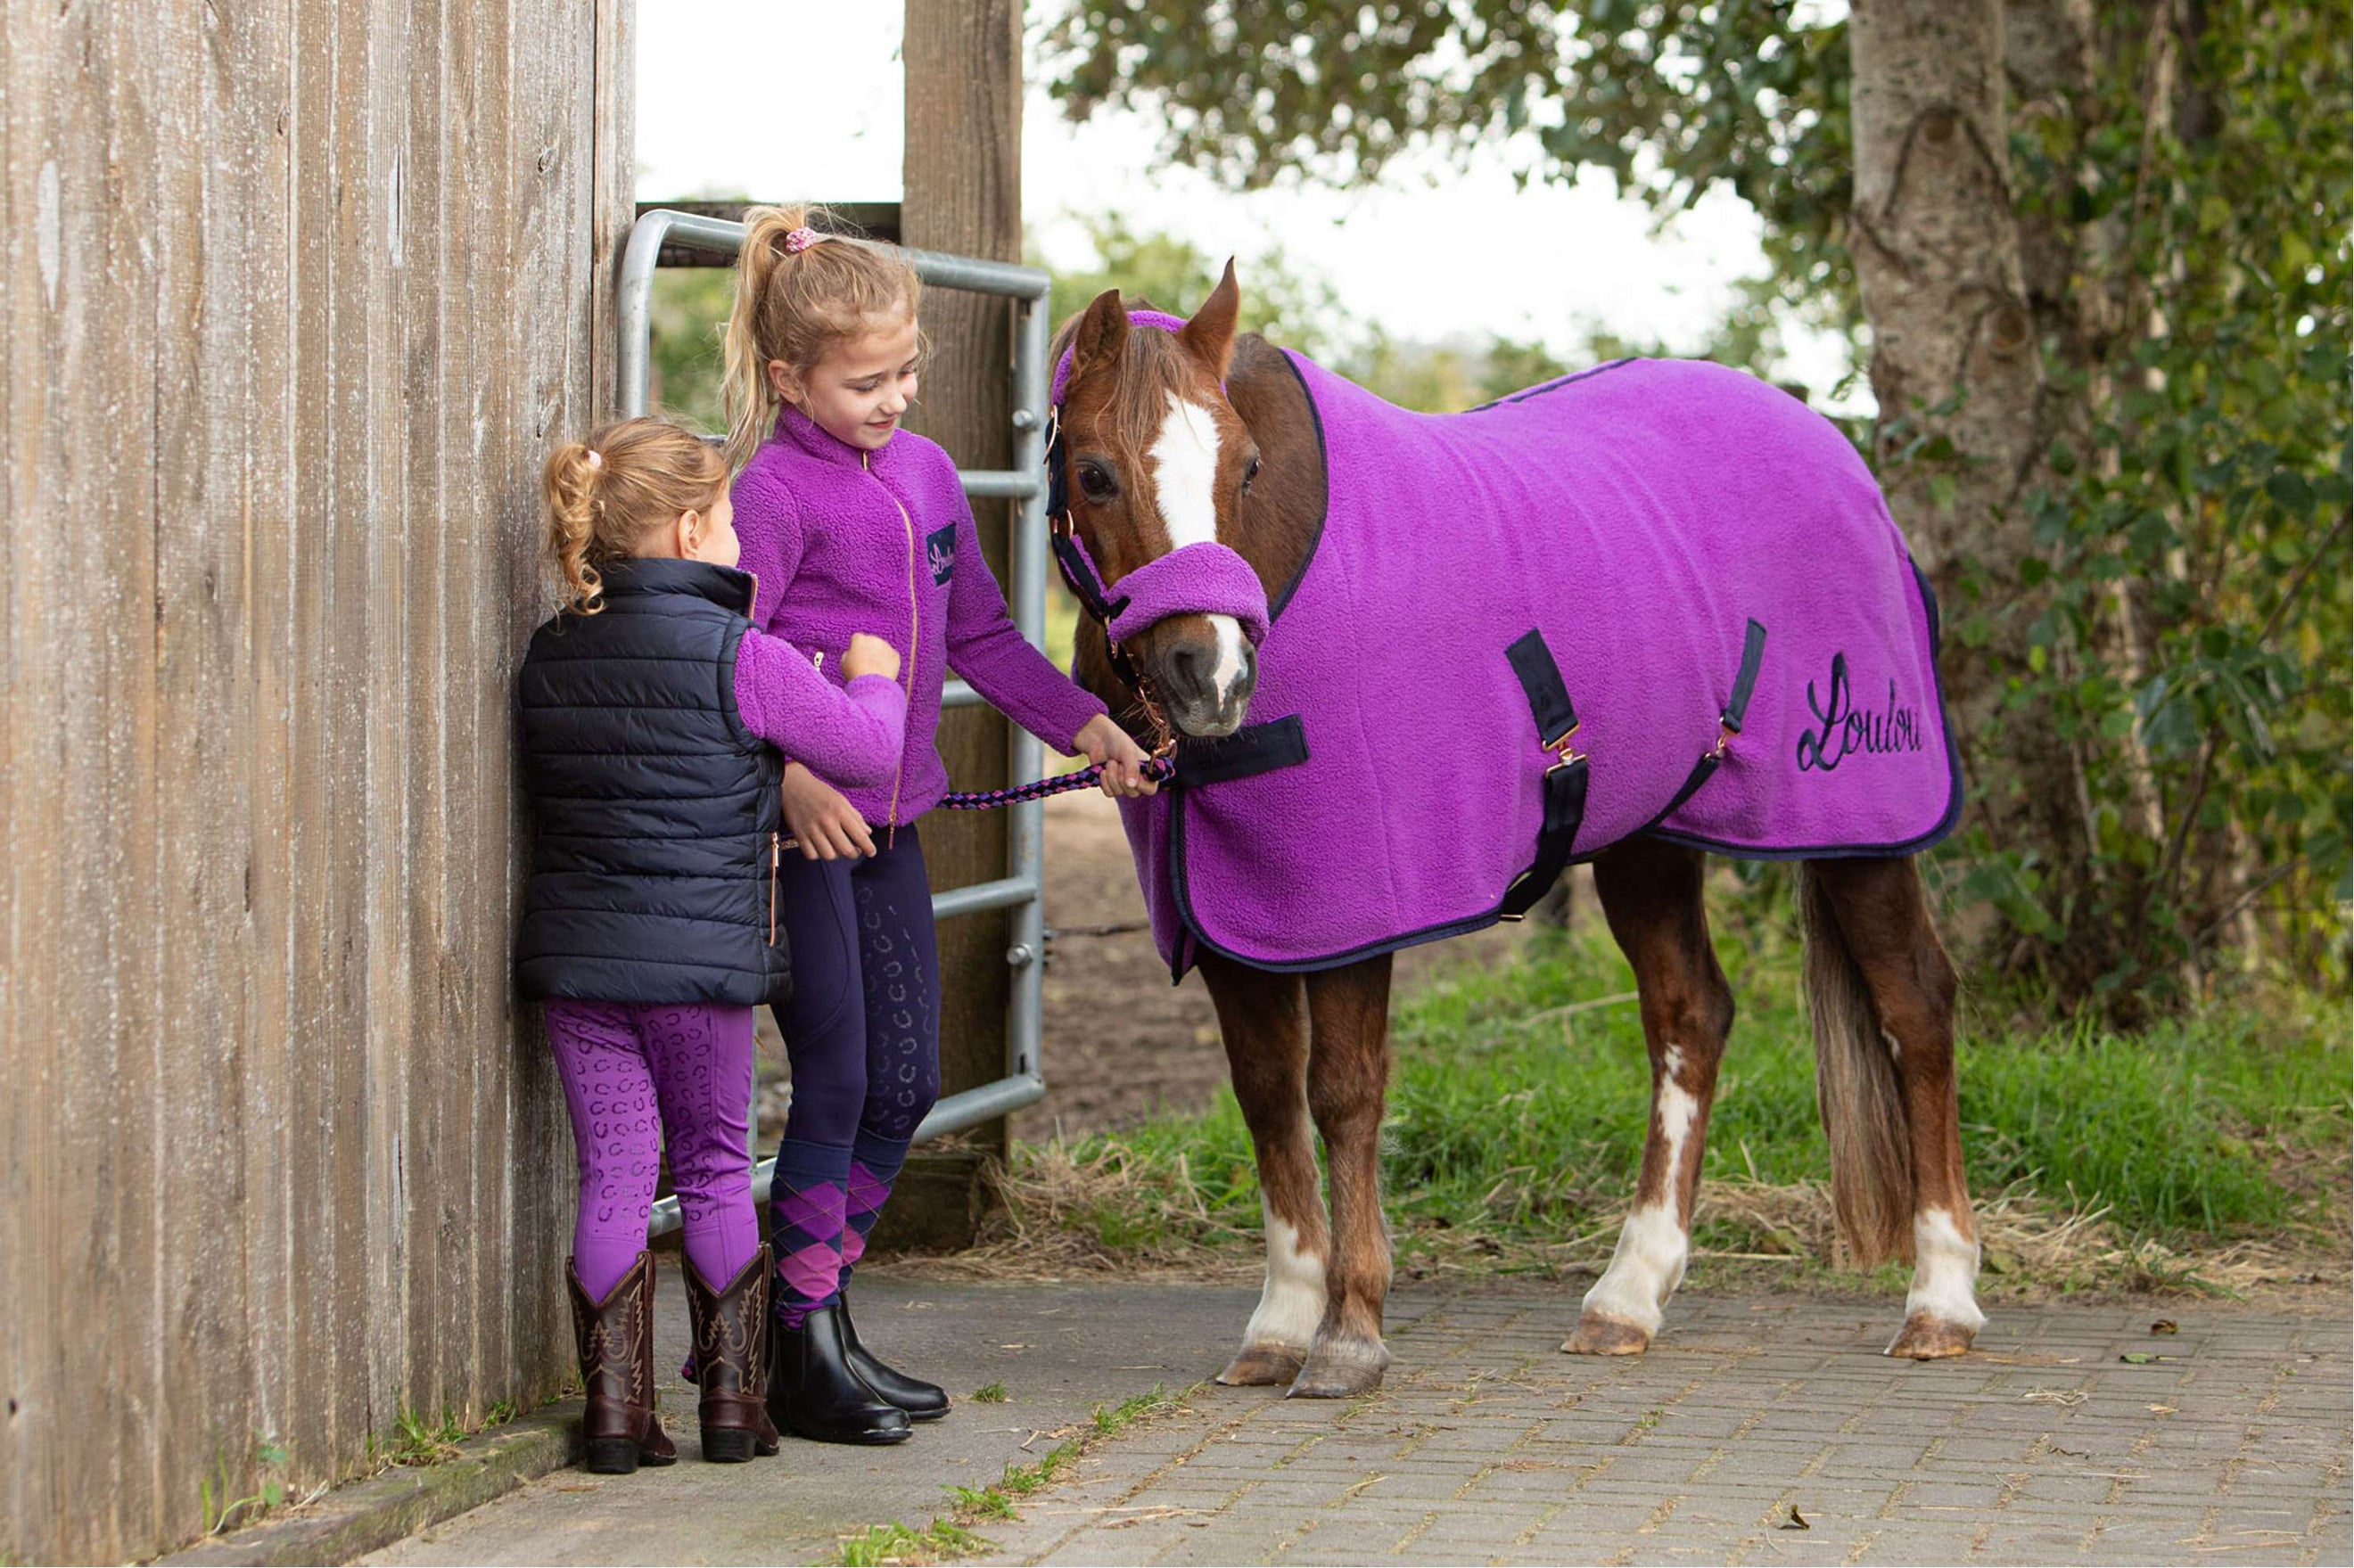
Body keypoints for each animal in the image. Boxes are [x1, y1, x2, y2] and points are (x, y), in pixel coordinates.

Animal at [1047, 265, 1983, 1399]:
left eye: (1247, 467)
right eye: (1095, 474)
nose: (1212, 675)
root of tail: (1844, 460)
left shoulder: (1362, 899)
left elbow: (1344, 1092)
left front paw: (1350, 1329)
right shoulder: (1234, 911)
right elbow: (1267, 1095)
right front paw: (1279, 1321)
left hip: (1858, 822)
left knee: (1915, 1007)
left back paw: (1940, 1300)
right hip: (1648, 835)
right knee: (1690, 1014)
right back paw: (1628, 1296)